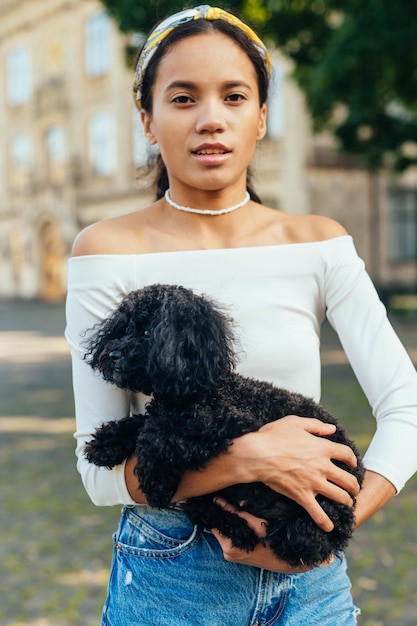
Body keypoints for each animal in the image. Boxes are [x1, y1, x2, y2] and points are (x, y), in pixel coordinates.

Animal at [83, 282, 362, 564]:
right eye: (122, 329)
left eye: (148, 331)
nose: (112, 353)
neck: (198, 391)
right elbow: (143, 423)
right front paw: (105, 444)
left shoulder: (231, 422)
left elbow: (158, 433)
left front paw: (155, 479)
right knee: (200, 507)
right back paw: (239, 530)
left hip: (320, 509)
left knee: (309, 541)